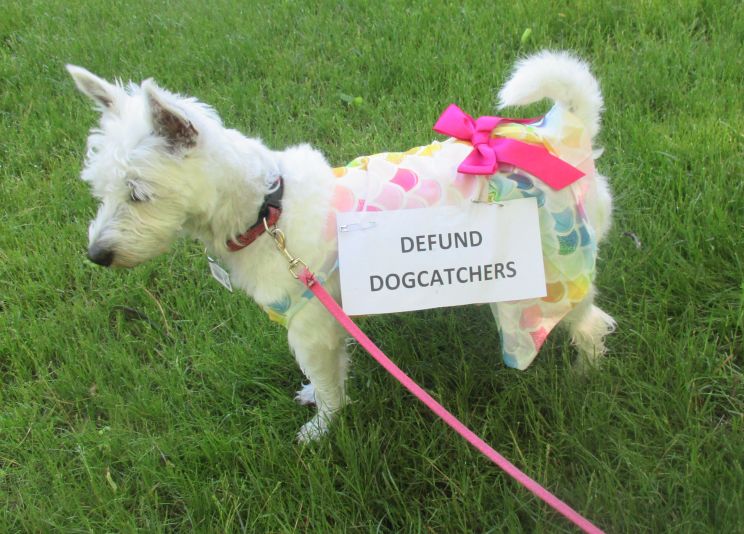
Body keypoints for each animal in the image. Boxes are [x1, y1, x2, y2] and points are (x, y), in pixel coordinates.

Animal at [68, 52, 616, 442]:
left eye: (139, 194)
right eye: (99, 190)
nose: (97, 256)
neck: (267, 211)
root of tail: (562, 134)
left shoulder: (311, 328)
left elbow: (329, 384)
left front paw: (322, 429)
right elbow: (323, 377)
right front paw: (315, 399)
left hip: (551, 273)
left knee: (589, 323)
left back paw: (582, 374)